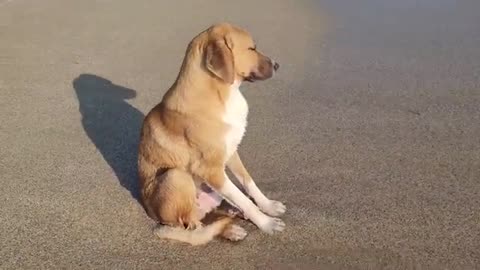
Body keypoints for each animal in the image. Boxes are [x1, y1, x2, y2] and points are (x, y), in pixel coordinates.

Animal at [137, 22, 284, 247]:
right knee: (194, 228)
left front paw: (267, 206)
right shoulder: (210, 170)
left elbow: (248, 184)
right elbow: (244, 200)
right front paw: (265, 223)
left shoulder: (231, 152)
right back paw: (230, 229)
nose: (277, 65)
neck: (222, 94)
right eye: (252, 48)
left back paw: (232, 215)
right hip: (176, 177)